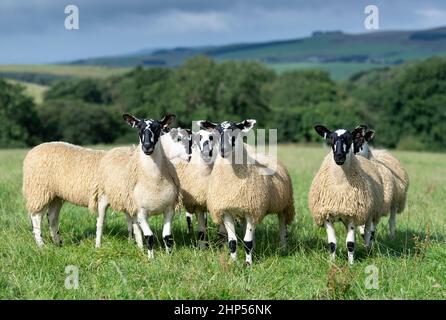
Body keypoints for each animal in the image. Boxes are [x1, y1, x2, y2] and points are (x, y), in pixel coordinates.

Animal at [95, 114, 180, 258]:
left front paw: (169, 256)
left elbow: (167, 236)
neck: (154, 181)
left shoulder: (169, 209)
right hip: (103, 198)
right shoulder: (141, 211)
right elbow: (149, 236)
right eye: (139, 128)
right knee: (100, 222)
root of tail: (118, 149)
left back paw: (137, 247)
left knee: (133, 225)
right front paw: (151, 258)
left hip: (129, 203)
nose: (147, 147)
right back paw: (98, 246)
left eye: (158, 128)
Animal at [200, 119, 294, 264]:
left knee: (282, 228)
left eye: (236, 131)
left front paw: (248, 264)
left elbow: (247, 242)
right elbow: (232, 242)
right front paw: (234, 263)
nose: (223, 150)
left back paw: (283, 248)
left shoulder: (252, 209)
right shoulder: (226, 210)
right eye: (215, 133)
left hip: (284, 205)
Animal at [308, 125, 386, 264]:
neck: (339, 186)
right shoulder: (327, 214)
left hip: (370, 212)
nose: (339, 157)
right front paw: (332, 264)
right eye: (330, 139)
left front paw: (351, 265)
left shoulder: (353, 214)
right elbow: (332, 244)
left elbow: (350, 243)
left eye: (349, 139)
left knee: (368, 233)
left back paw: (368, 250)